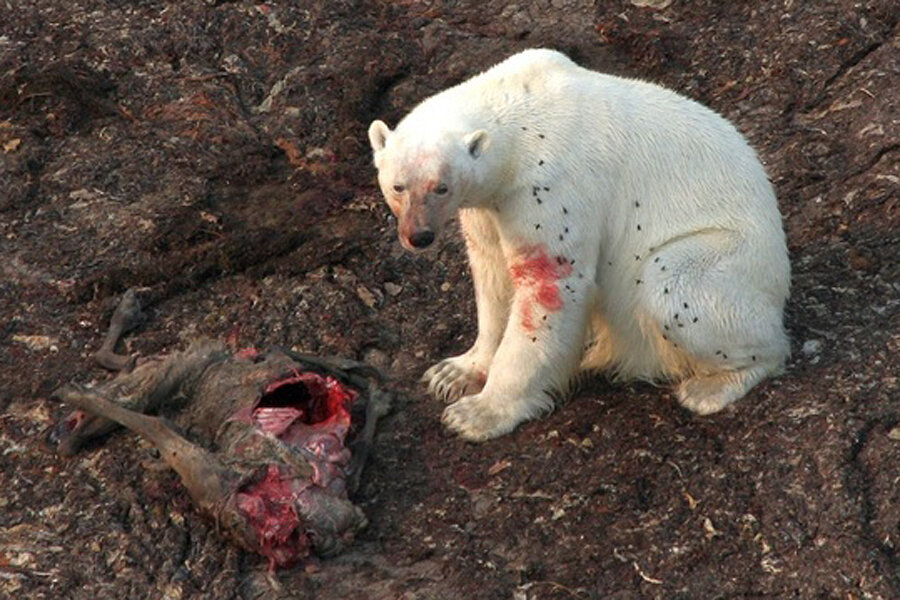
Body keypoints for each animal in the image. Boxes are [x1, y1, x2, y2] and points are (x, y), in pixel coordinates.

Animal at [366, 48, 788, 440]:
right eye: (398, 186)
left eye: (441, 187)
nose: (419, 236)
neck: (518, 113)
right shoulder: (489, 205)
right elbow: (492, 272)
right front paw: (453, 372)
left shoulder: (549, 188)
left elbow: (547, 285)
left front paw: (476, 414)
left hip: (730, 259)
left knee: (671, 282)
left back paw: (710, 386)